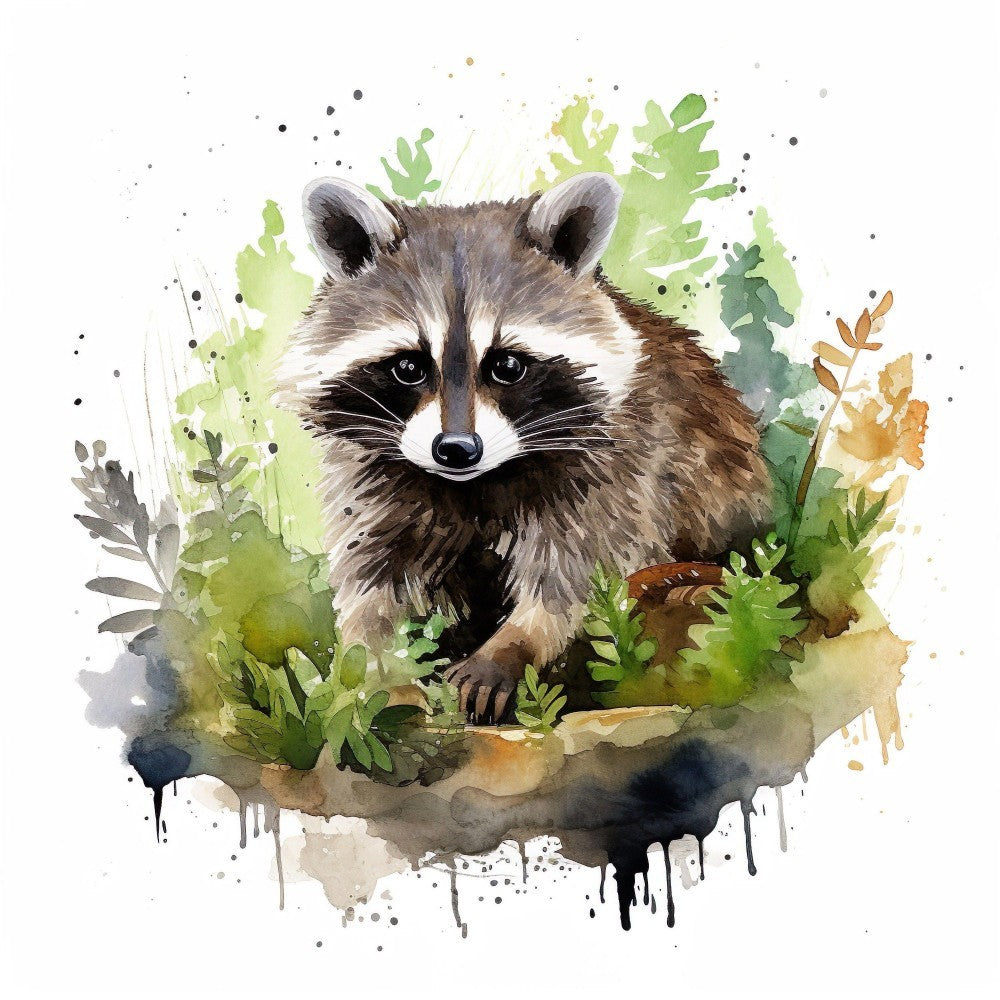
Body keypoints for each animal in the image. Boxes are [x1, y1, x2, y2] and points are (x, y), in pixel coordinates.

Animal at [276, 173, 772, 724]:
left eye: (507, 365)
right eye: (408, 367)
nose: (456, 449)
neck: (473, 484)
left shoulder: (619, 464)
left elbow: (577, 575)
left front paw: (514, 645)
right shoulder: (374, 480)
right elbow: (375, 580)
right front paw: (382, 671)